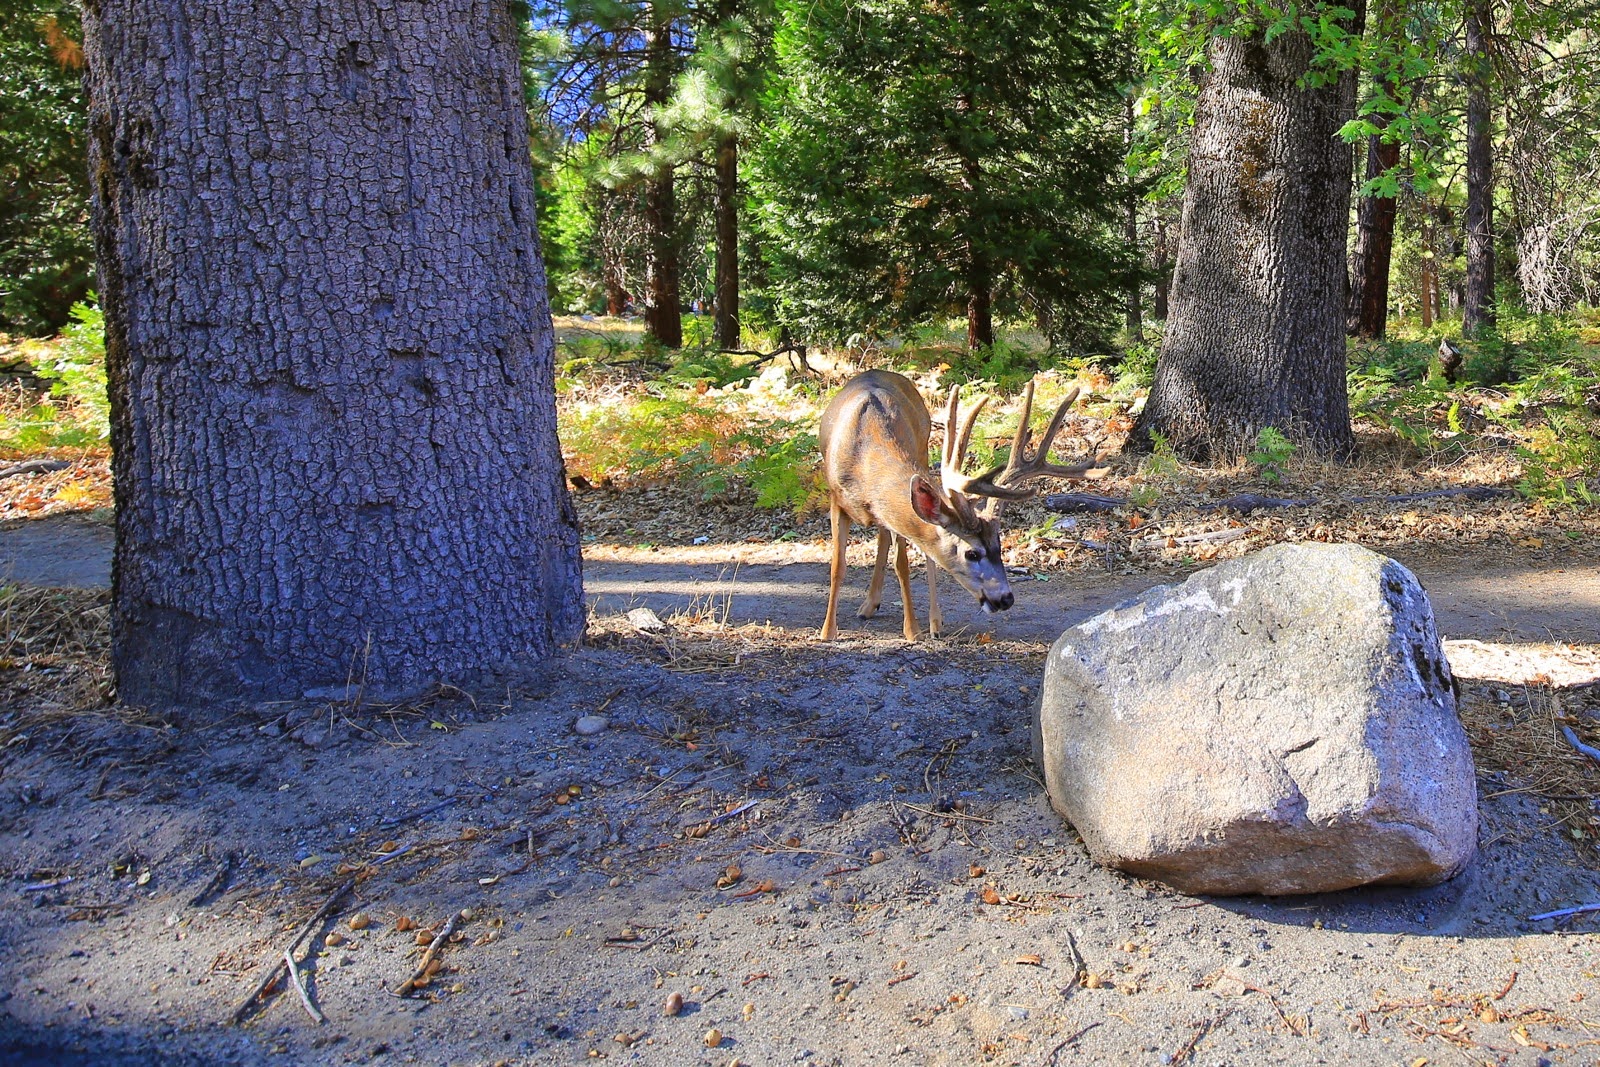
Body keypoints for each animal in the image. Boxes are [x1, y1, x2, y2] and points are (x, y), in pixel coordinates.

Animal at [818, 369, 1097, 641]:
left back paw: (932, 622)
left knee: (911, 547)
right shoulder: (835, 498)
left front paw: (913, 630)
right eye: (972, 553)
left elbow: (902, 565)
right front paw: (828, 631)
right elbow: (837, 565)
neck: (864, 462)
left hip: (922, 451)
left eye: (999, 546)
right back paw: (869, 606)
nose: (1006, 598)